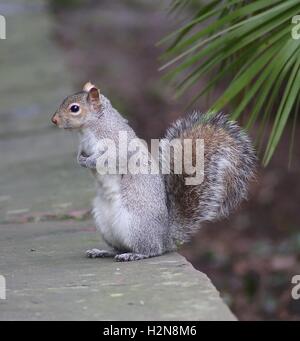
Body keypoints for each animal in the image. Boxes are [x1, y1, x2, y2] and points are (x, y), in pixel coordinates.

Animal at [51, 81, 255, 260]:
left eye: (74, 108)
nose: (53, 120)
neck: (90, 129)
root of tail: (165, 238)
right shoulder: (83, 144)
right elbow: (81, 153)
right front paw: (80, 159)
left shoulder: (118, 145)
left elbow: (111, 158)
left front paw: (90, 161)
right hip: (104, 224)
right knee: (119, 247)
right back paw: (103, 251)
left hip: (135, 225)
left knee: (151, 250)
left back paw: (134, 254)